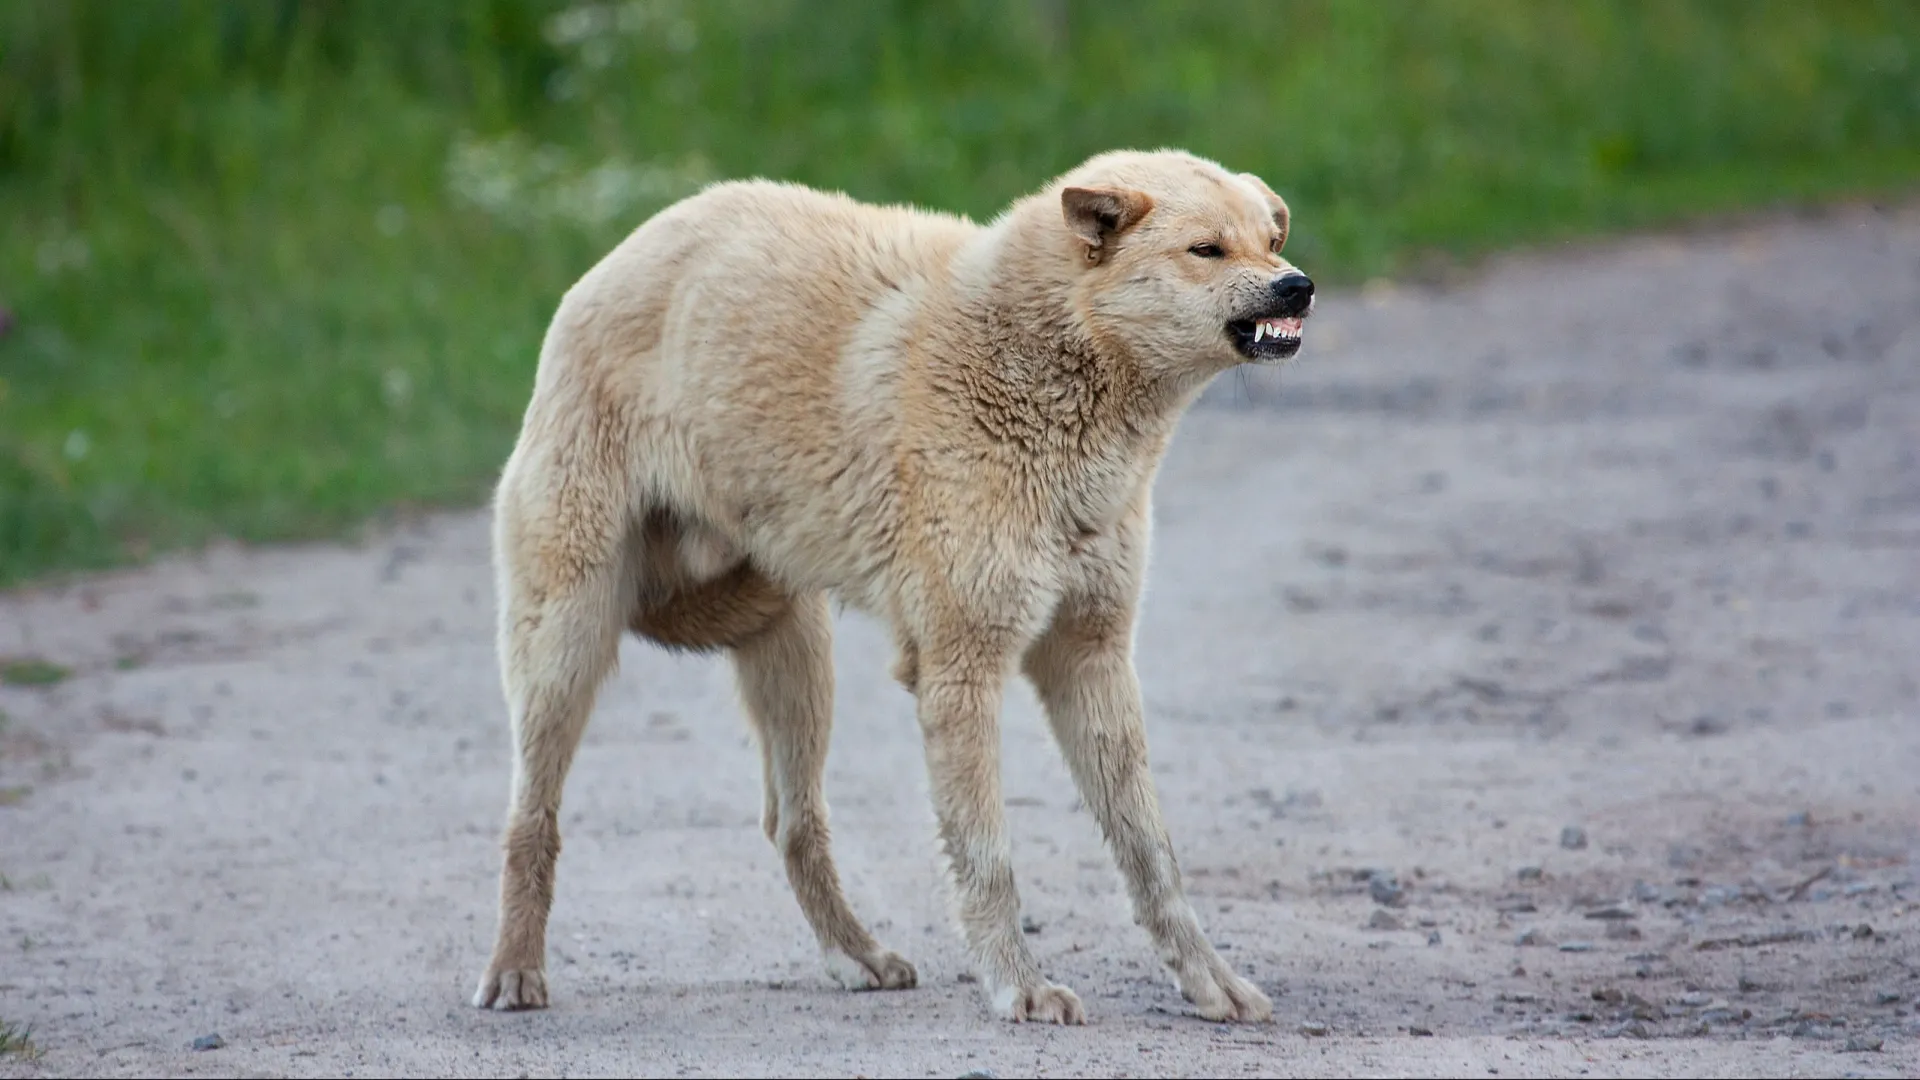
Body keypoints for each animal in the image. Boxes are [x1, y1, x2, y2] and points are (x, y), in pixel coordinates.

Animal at [478, 147, 1313, 1022]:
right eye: (1207, 250)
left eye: (1271, 240)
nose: (1299, 286)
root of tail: (607, 266)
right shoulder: (961, 672)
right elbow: (988, 860)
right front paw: (1019, 988)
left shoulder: (1091, 657)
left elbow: (1152, 856)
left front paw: (1209, 983)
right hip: (567, 648)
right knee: (531, 820)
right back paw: (515, 973)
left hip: (797, 657)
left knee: (792, 825)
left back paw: (858, 956)